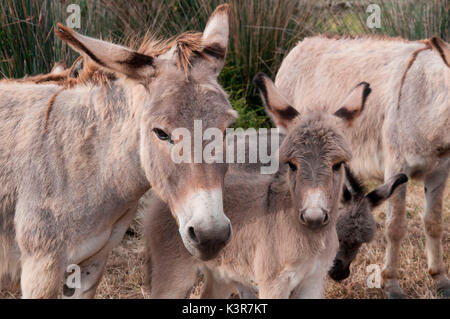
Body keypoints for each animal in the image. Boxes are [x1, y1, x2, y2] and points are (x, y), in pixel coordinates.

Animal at [0, 4, 234, 300]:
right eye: (161, 133)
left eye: (227, 128)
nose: (211, 236)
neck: (90, 165)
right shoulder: (41, 268)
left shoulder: (93, 263)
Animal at [146, 74, 406, 298]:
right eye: (291, 164)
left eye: (338, 164)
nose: (341, 273)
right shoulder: (274, 283)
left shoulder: (313, 281)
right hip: (176, 276)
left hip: (220, 274)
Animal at [276, 36, 448, 298]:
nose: (339, 273)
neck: (427, 105)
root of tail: (302, 42)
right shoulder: (397, 167)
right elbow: (395, 227)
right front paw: (392, 285)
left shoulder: (439, 171)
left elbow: (434, 223)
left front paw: (440, 279)